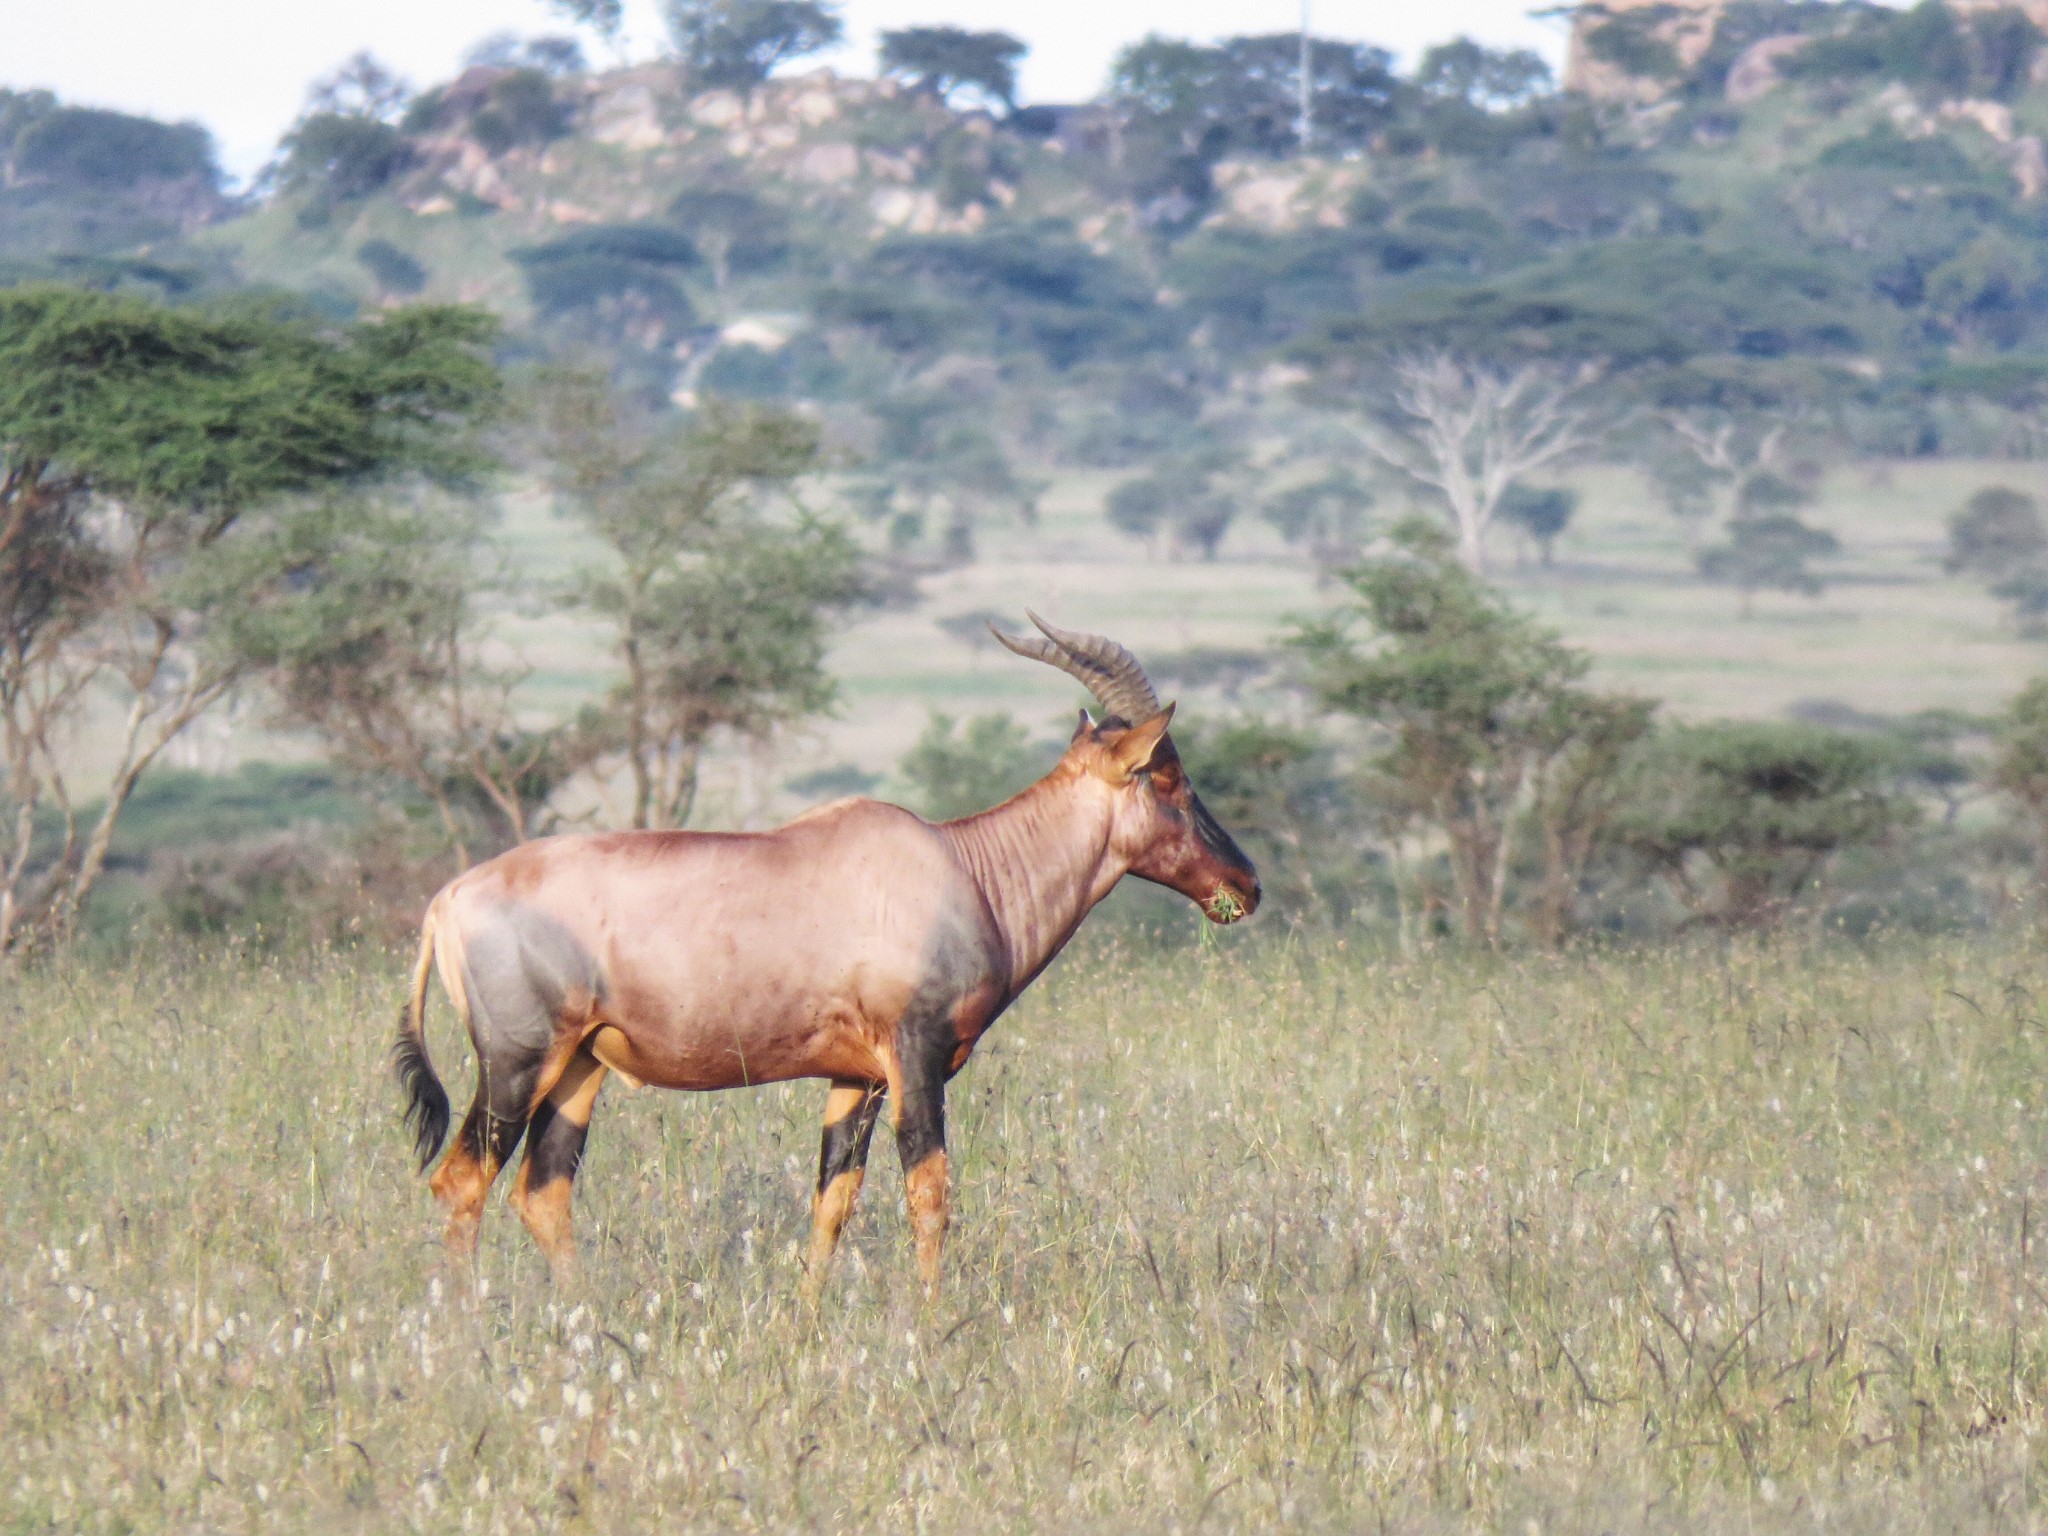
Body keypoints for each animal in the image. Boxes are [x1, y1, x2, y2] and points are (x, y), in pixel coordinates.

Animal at [395, 614, 1261, 1302]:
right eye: (1166, 776)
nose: (1246, 884)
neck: (961, 864)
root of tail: (448, 901)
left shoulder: (857, 1077)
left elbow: (834, 1197)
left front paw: (806, 1320)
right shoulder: (916, 1058)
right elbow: (929, 1191)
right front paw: (929, 1321)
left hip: (581, 1065)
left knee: (542, 1192)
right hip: (517, 1061)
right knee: (461, 1180)